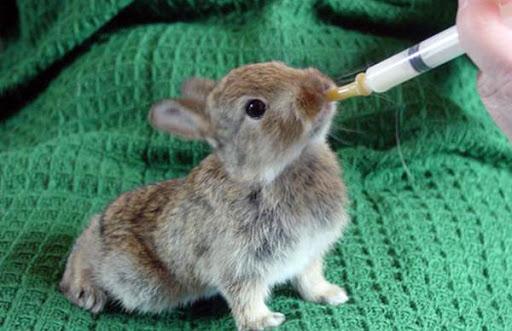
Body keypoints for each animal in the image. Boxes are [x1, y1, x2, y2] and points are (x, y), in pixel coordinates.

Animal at [59, 62, 348, 331]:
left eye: (283, 65)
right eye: (255, 108)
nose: (321, 87)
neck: (267, 173)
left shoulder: (309, 253)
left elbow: (309, 277)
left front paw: (331, 294)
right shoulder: (239, 264)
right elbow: (245, 296)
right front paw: (264, 321)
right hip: (137, 280)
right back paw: (86, 292)